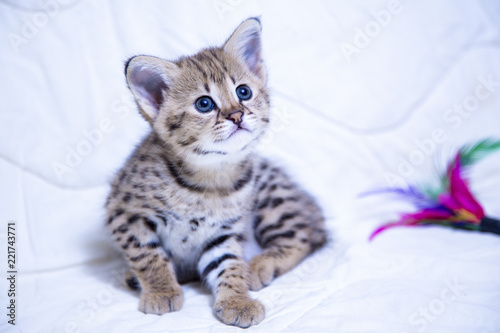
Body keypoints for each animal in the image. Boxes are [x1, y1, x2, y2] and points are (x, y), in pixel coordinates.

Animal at [104, 18, 328, 326]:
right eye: (204, 104)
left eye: (243, 92)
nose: (237, 115)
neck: (211, 177)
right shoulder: (124, 213)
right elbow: (148, 255)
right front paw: (161, 290)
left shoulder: (224, 230)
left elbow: (229, 264)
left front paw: (237, 299)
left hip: (272, 201)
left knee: (302, 236)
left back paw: (256, 266)